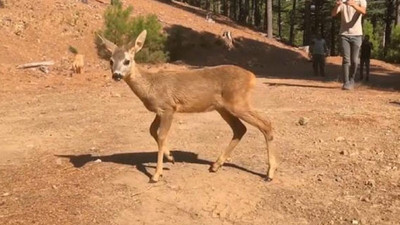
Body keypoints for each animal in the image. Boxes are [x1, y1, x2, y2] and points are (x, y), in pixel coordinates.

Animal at [98, 29, 276, 183]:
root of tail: (252, 77)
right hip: (223, 108)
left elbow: (161, 135)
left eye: (127, 61)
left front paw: (156, 174)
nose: (116, 75)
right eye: (111, 61)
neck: (150, 86)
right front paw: (171, 157)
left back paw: (269, 174)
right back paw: (215, 165)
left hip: (238, 103)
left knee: (266, 124)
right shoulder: (159, 111)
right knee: (240, 129)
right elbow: (152, 130)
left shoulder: (169, 107)